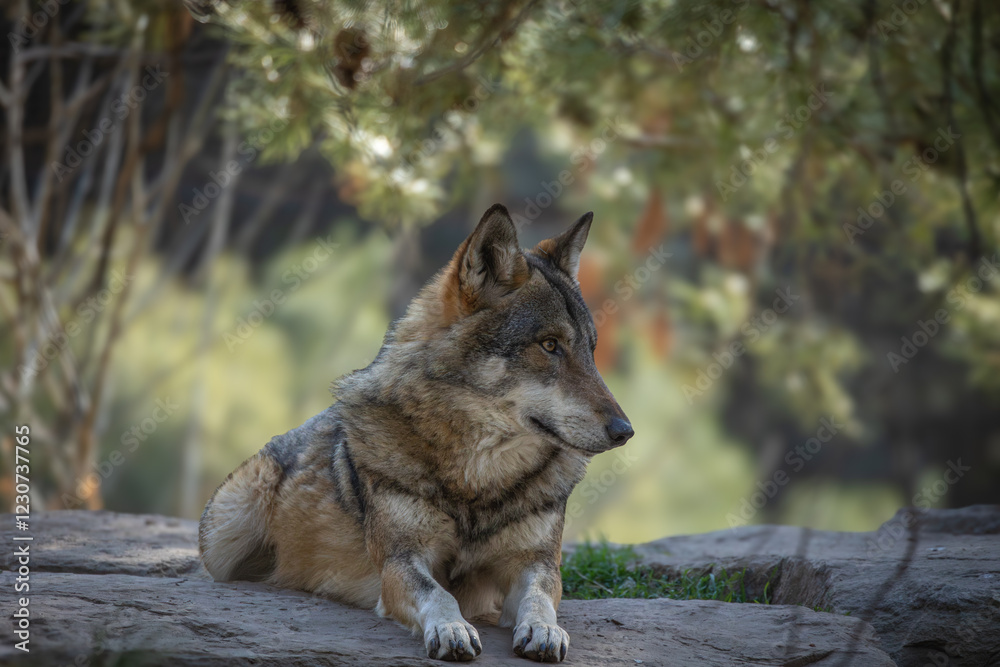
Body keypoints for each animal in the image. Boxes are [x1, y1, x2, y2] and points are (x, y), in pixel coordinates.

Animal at [199, 204, 634, 662]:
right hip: (225, 531)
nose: (625, 431)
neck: (478, 480)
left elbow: (540, 597)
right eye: (550, 345)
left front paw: (545, 630)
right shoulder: (400, 561)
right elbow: (438, 593)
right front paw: (451, 628)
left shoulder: (536, 563)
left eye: (591, 349)